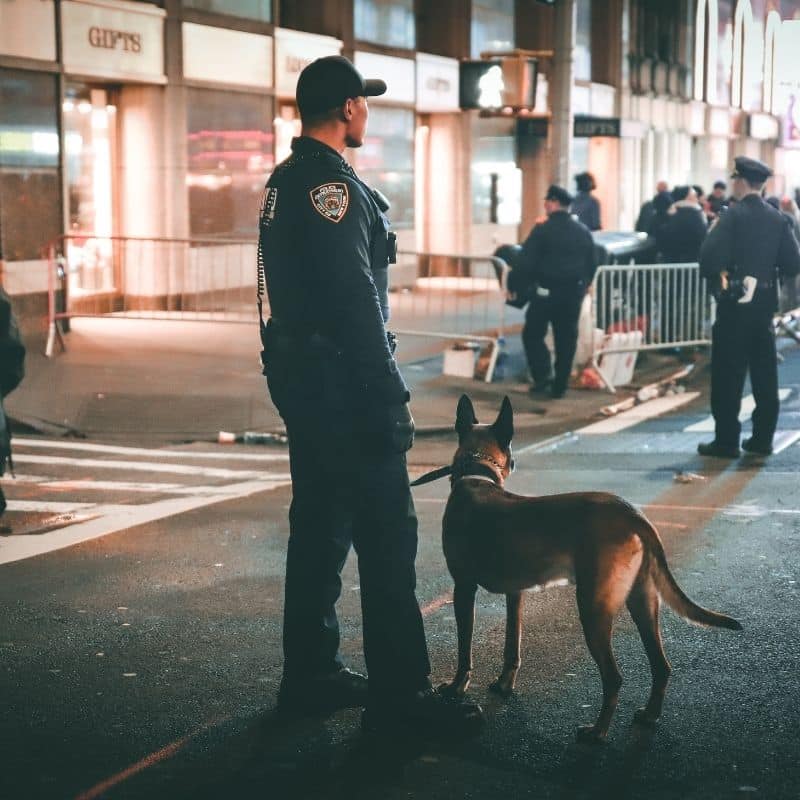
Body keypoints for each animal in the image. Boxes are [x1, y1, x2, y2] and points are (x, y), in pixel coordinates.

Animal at [416, 394, 740, 744]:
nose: (515, 463)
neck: (477, 476)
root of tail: (632, 514)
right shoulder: (516, 595)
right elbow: (512, 646)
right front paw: (504, 684)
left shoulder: (464, 589)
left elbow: (464, 650)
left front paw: (456, 688)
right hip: (642, 603)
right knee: (660, 666)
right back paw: (649, 715)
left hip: (593, 609)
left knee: (614, 677)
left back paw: (597, 732)